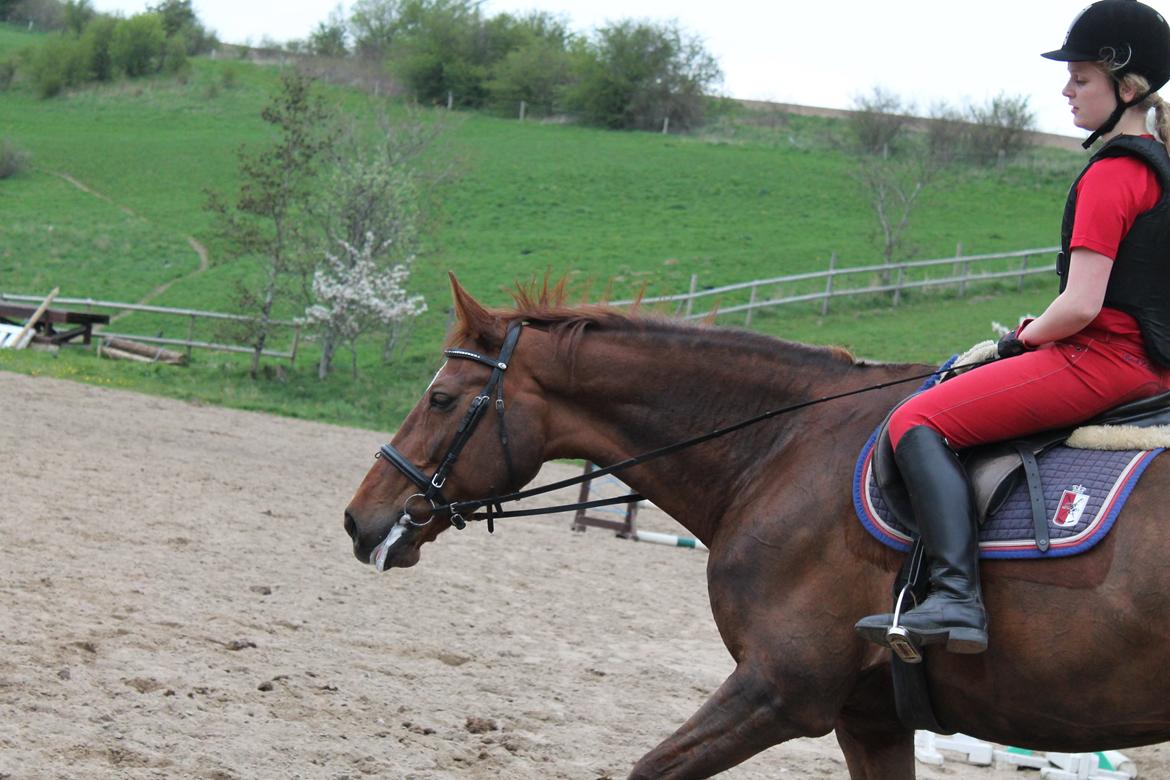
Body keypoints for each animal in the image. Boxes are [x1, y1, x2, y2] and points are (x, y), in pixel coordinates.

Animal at [341, 277, 1170, 776]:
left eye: (442, 399)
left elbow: (648, 768)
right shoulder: (868, 718)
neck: (783, 447)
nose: (359, 518)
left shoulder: (779, 689)